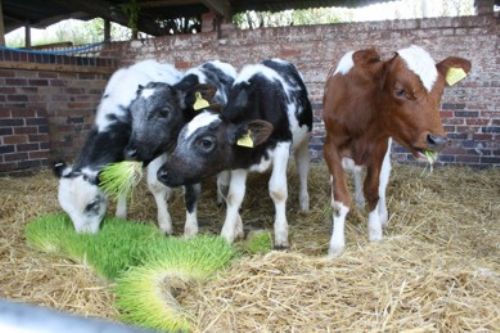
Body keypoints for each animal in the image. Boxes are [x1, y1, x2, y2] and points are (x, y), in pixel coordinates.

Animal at [53, 59, 182, 233]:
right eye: (67, 210)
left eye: (92, 204)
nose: (84, 236)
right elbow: (120, 181)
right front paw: (121, 216)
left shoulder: (155, 148)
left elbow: (155, 185)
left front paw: (165, 224)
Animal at [123, 59, 236, 236]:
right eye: (132, 112)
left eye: (164, 112)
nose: (131, 151)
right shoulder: (159, 151)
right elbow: (156, 185)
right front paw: (164, 224)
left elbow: (191, 192)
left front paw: (190, 229)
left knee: (223, 179)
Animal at [157, 59, 312, 246]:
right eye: (180, 137)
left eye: (206, 142)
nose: (162, 173)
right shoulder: (238, 159)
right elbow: (234, 195)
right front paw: (227, 235)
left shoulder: (282, 145)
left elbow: (278, 190)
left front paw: (281, 236)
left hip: (303, 141)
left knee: (303, 169)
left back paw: (304, 204)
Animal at [322, 44, 470, 256]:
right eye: (400, 91)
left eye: (441, 92)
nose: (438, 140)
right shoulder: (331, 146)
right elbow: (340, 197)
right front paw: (336, 246)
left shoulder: (380, 146)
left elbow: (373, 190)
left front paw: (375, 233)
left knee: (382, 180)